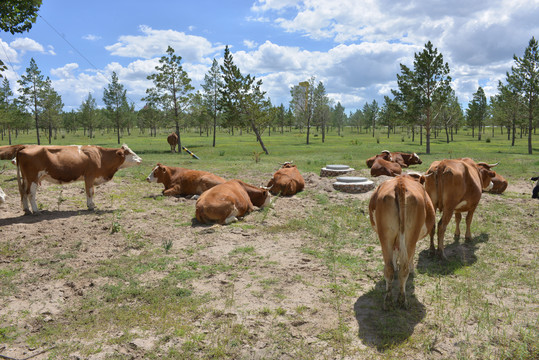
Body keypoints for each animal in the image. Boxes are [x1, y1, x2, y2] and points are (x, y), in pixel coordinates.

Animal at [370, 173, 436, 308]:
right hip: (410, 237)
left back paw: (388, 301)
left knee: (389, 268)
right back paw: (402, 300)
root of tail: (400, 183)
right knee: (404, 269)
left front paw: (396, 265)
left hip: (385, 235)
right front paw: (412, 269)